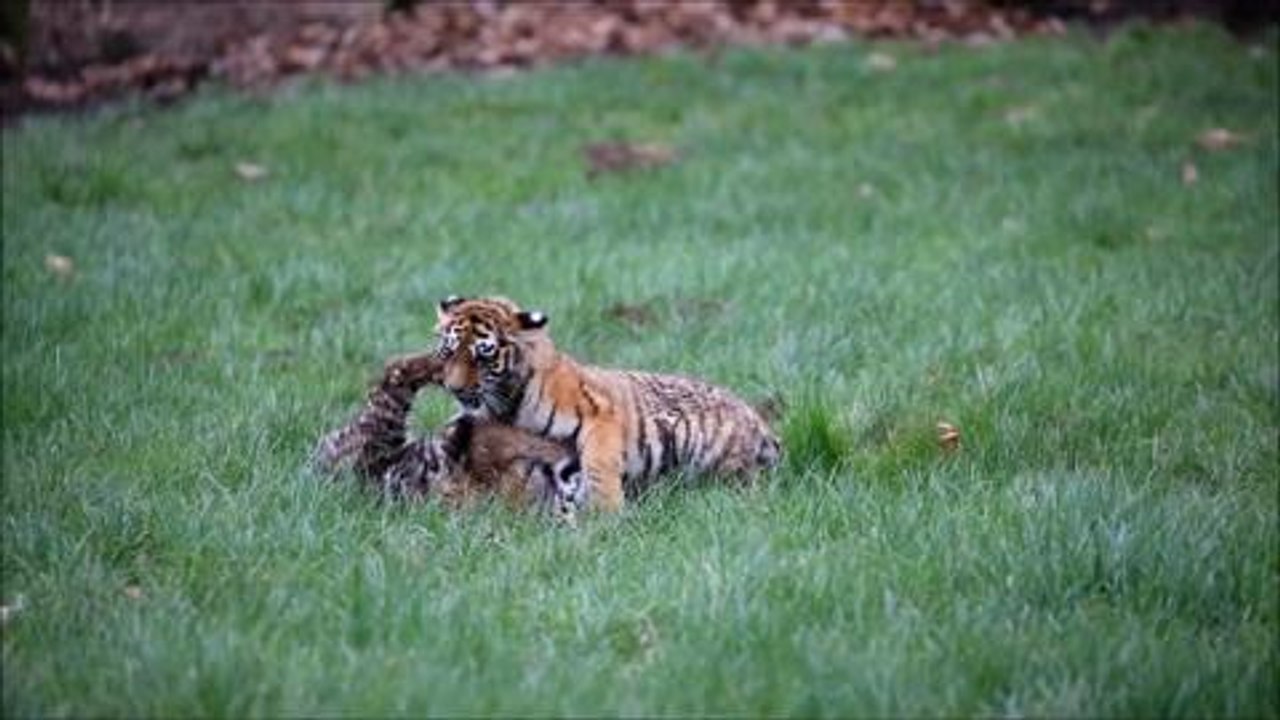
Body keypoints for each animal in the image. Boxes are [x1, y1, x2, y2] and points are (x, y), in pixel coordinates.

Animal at [431, 295, 782, 511]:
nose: (454, 387)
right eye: (449, 351)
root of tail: (760, 421)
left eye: (482, 355)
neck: (505, 402)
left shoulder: (599, 413)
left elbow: (599, 463)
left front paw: (606, 512)